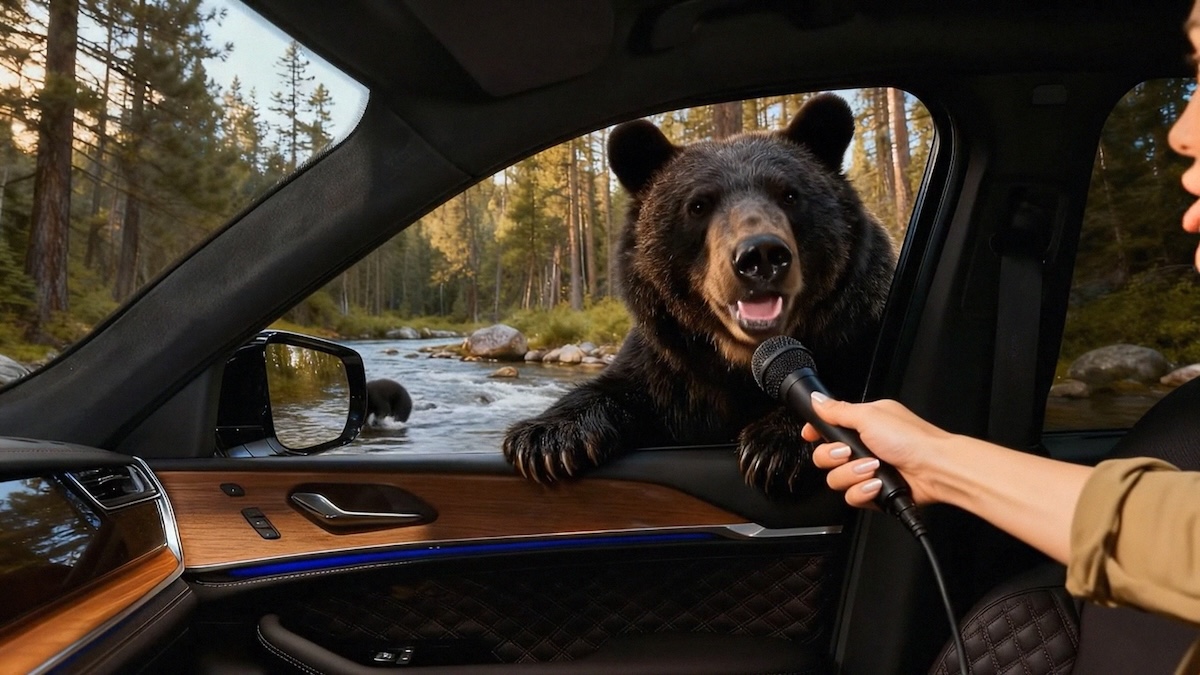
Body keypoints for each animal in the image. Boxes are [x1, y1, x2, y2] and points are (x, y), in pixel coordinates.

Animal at [502, 93, 896, 492]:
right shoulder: (670, 369)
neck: (738, 360)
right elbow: (618, 388)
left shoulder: (855, 330)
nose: (761, 255)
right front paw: (544, 440)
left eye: (789, 194)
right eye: (697, 205)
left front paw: (775, 445)